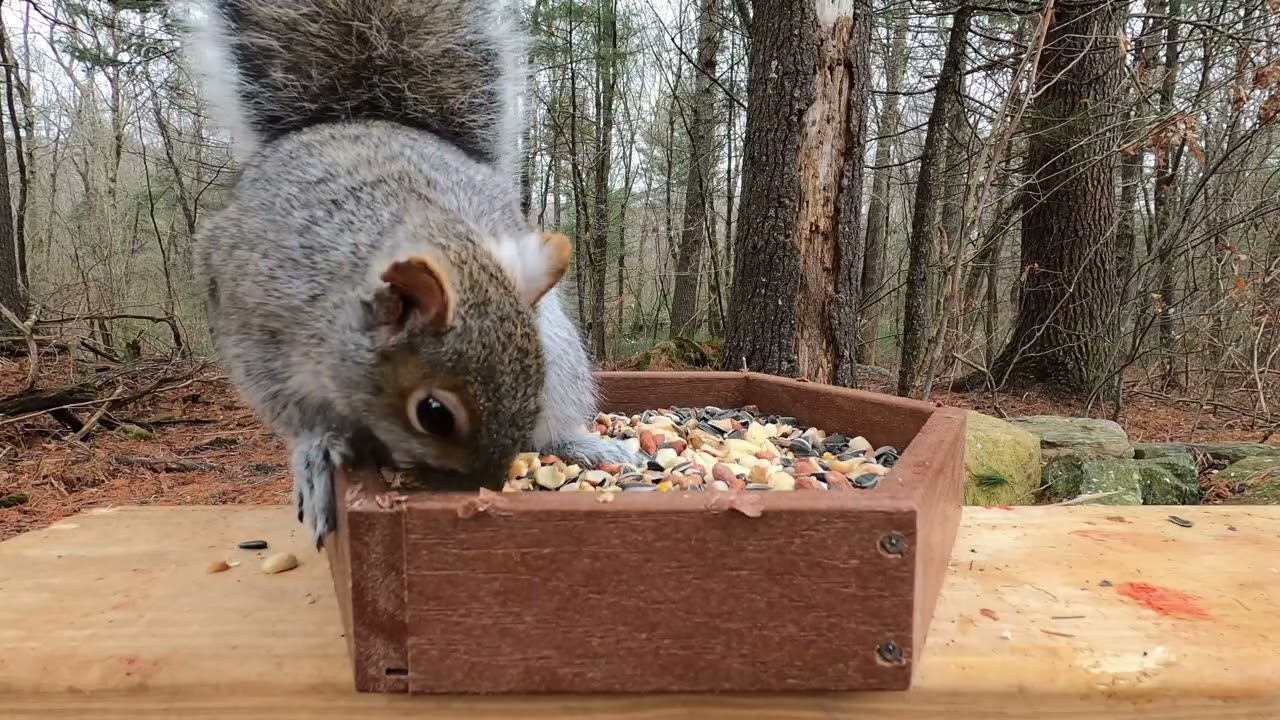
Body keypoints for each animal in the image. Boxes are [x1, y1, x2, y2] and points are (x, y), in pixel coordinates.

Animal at [178, 0, 642, 548]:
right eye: (433, 415)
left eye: (536, 379)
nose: (486, 483)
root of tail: (366, 117)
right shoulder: (258, 330)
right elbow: (294, 412)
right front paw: (316, 453)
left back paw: (583, 446)